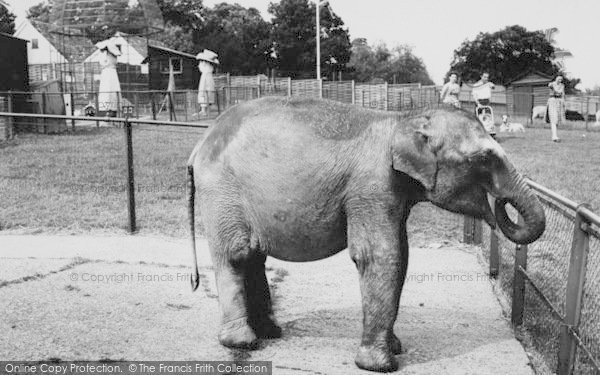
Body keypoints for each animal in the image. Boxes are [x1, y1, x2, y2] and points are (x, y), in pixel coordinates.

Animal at [185, 97, 548, 374]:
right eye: (485, 158)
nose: (500, 204)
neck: (405, 120)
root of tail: (200, 144)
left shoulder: (393, 192)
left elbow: (402, 254)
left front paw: (396, 348)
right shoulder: (372, 186)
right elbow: (381, 256)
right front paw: (381, 365)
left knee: (253, 257)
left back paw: (271, 333)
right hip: (221, 190)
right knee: (236, 254)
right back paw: (243, 342)